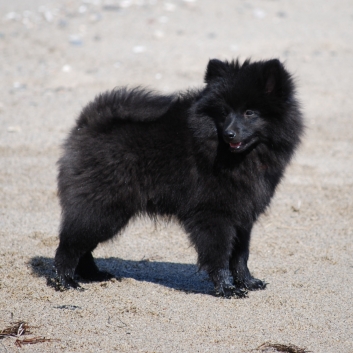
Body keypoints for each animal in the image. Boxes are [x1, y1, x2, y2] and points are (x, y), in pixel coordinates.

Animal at [54, 59, 302, 296]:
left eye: (249, 112)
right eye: (223, 112)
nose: (228, 134)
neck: (239, 158)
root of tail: (88, 123)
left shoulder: (243, 216)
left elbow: (240, 255)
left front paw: (247, 282)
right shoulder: (214, 215)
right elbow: (220, 255)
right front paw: (227, 289)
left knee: (83, 245)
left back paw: (93, 275)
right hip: (104, 209)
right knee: (69, 244)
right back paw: (65, 281)